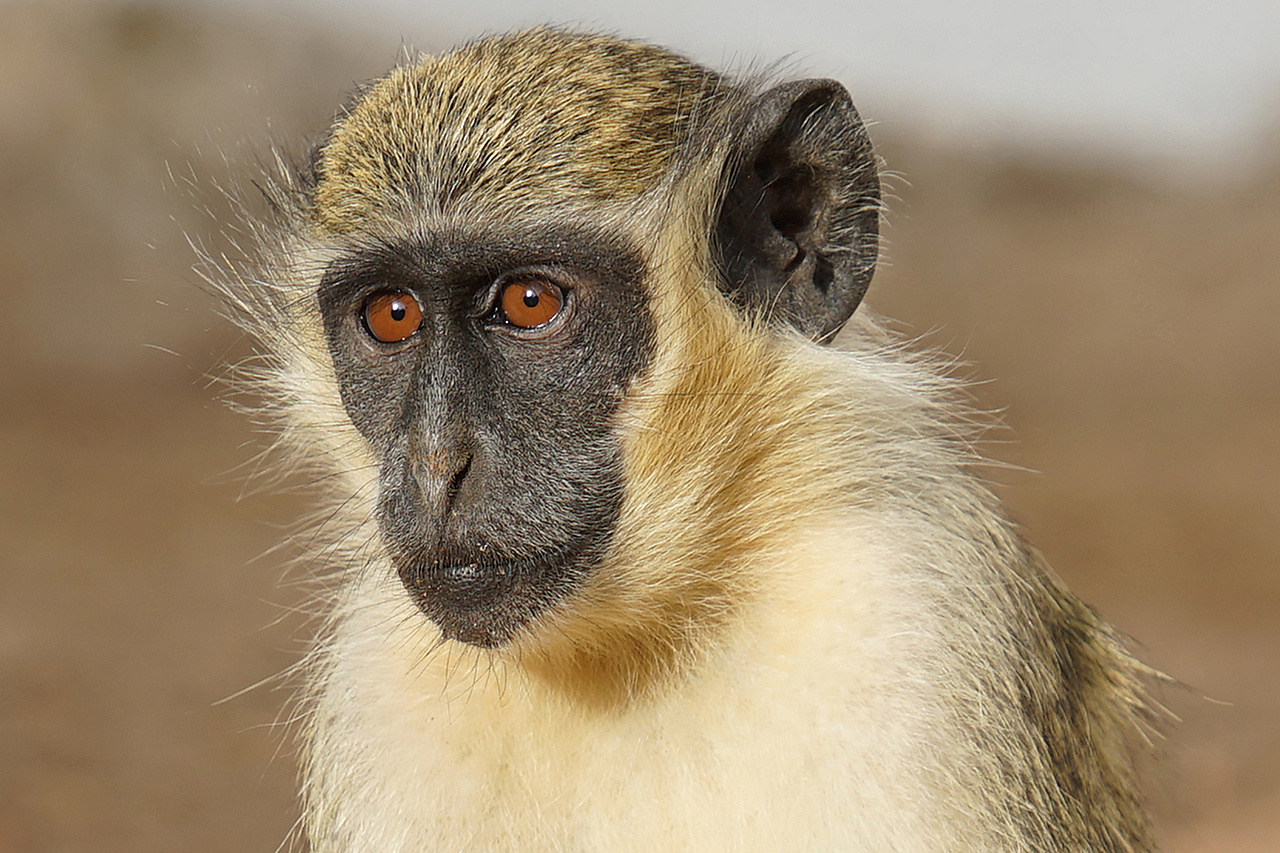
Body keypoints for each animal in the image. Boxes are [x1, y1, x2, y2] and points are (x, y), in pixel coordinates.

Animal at [215, 27, 1160, 852]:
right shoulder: (379, 687)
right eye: (393, 315)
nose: (437, 462)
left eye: (528, 302)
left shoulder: (917, 609)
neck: (644, 639)